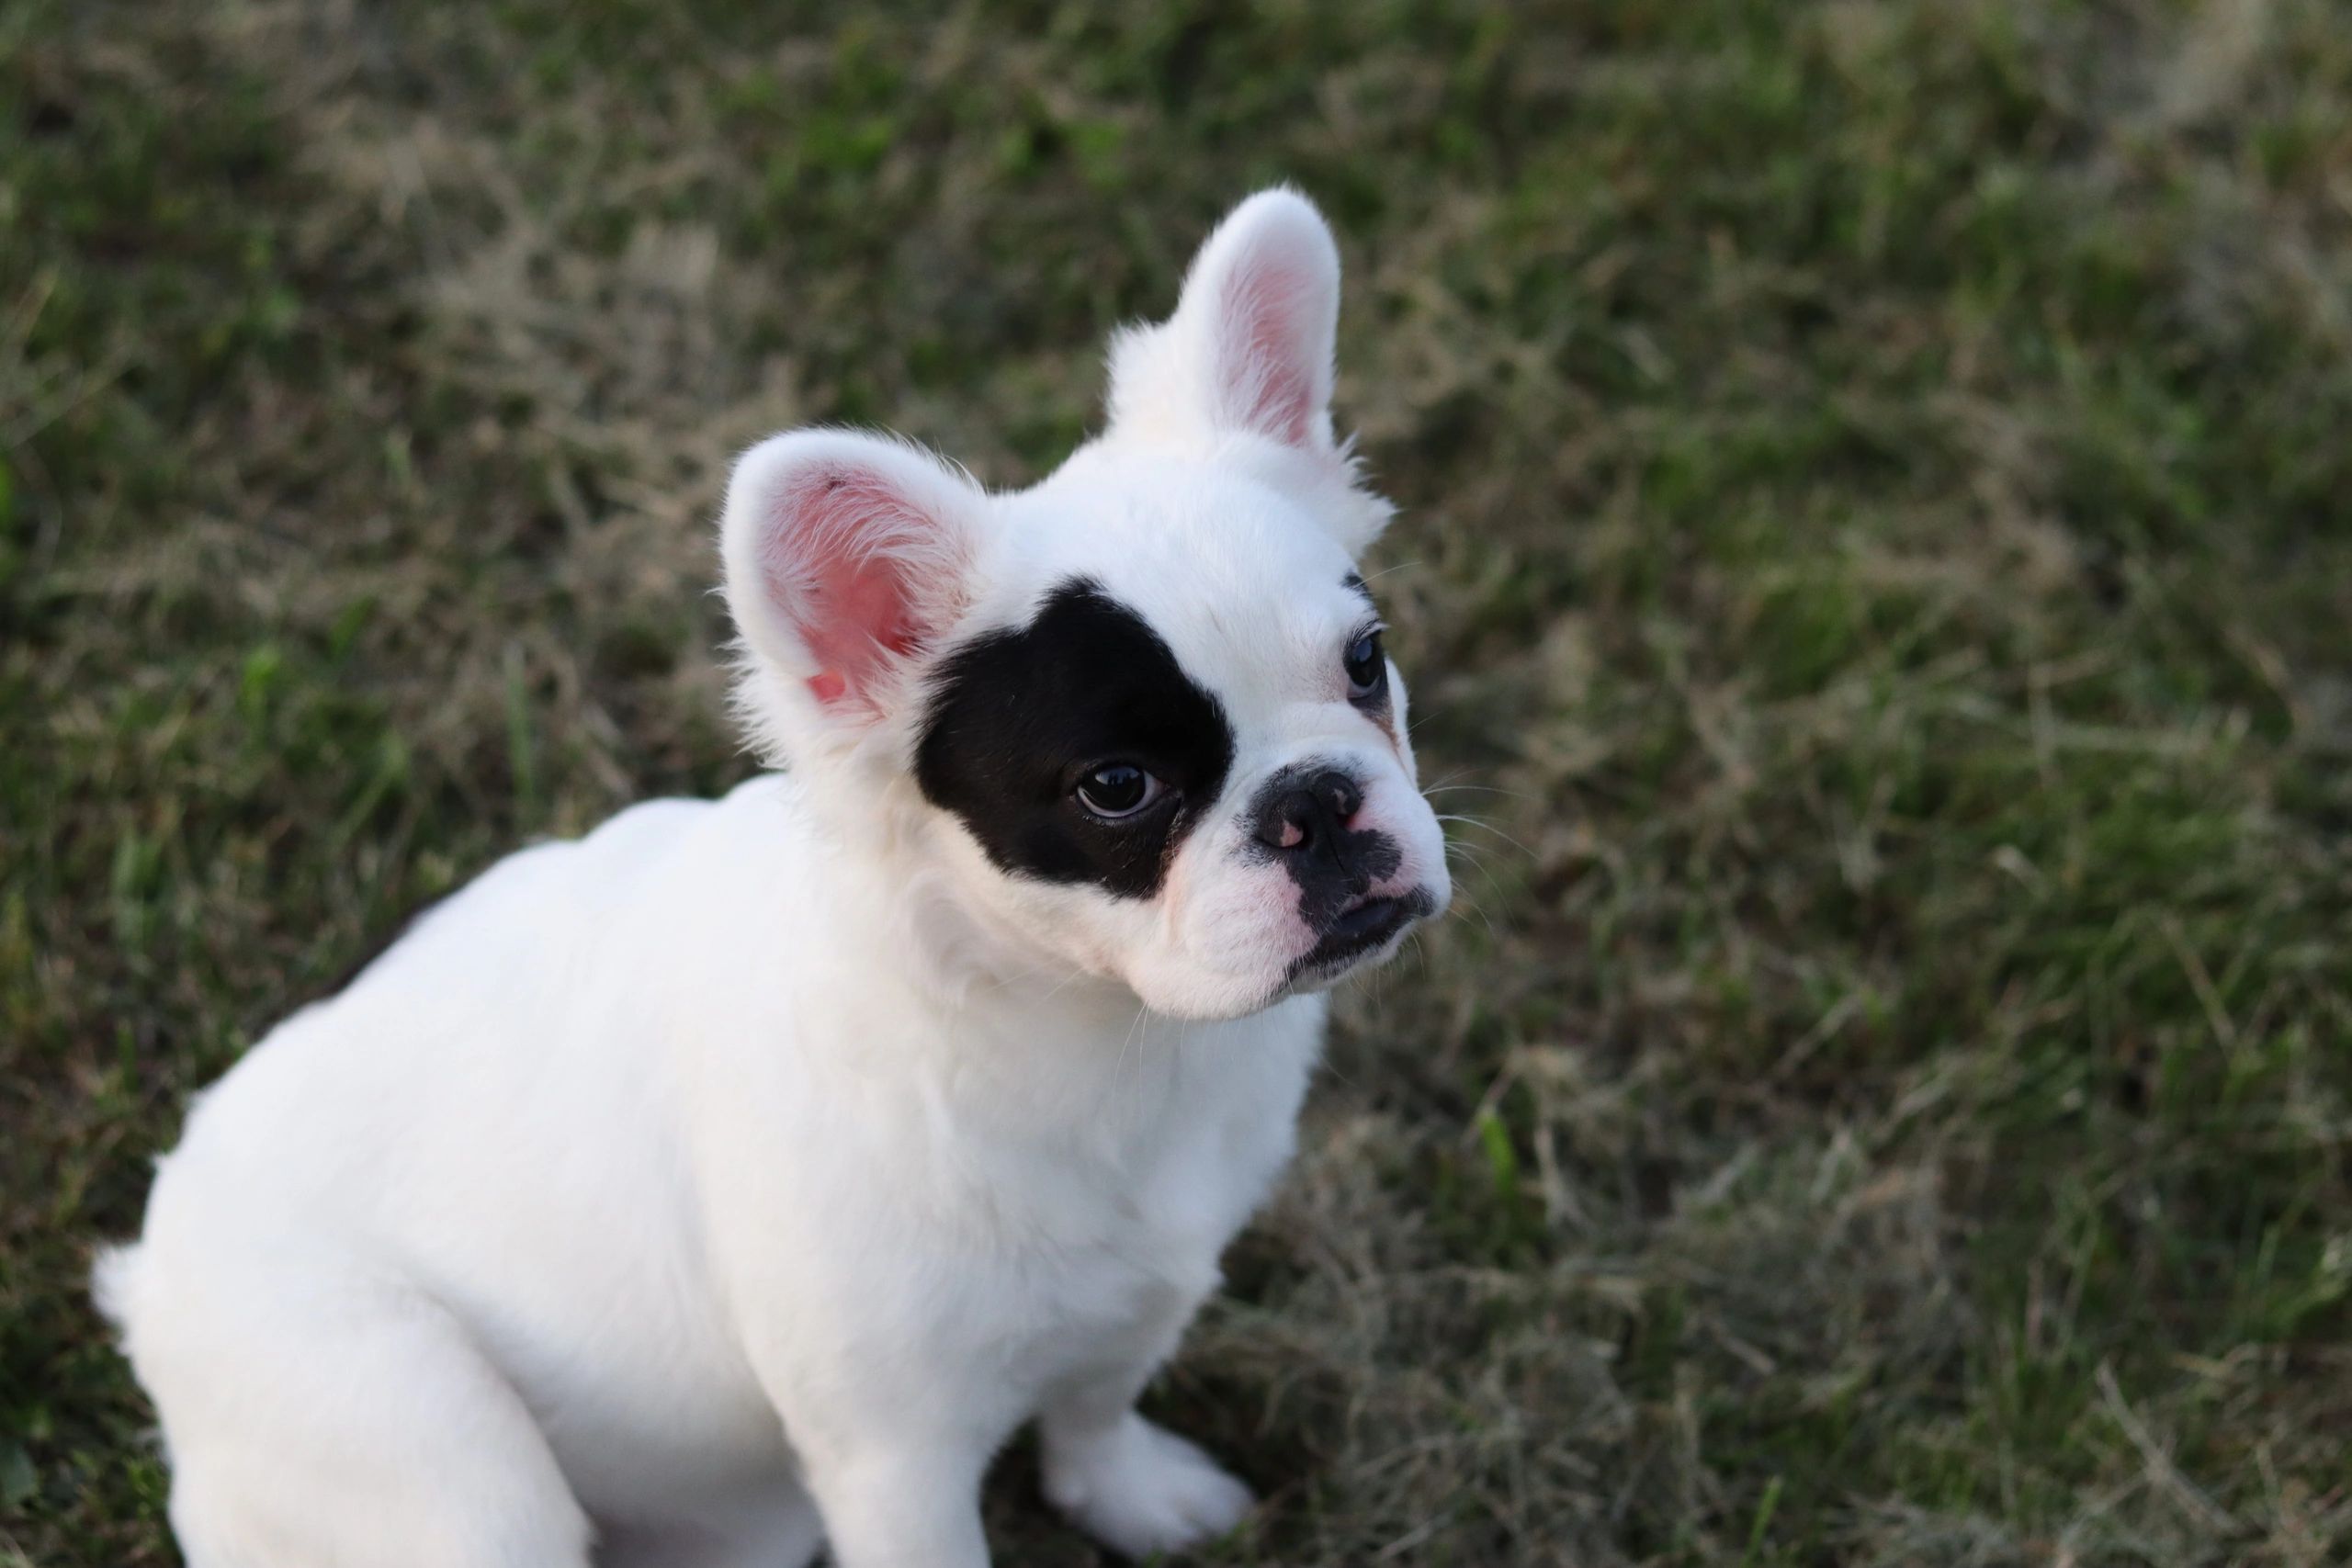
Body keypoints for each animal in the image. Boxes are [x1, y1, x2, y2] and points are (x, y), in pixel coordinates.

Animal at [101, 192, 1448, 1568]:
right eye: (1116, 787)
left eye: (1366, 661)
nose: (1314, 801)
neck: (1094, 1030)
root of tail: (148, 1281)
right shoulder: (897, 1456)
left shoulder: (1145, 1292)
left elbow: (1095, 1403)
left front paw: (1131, 1496)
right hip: (435, 1445)